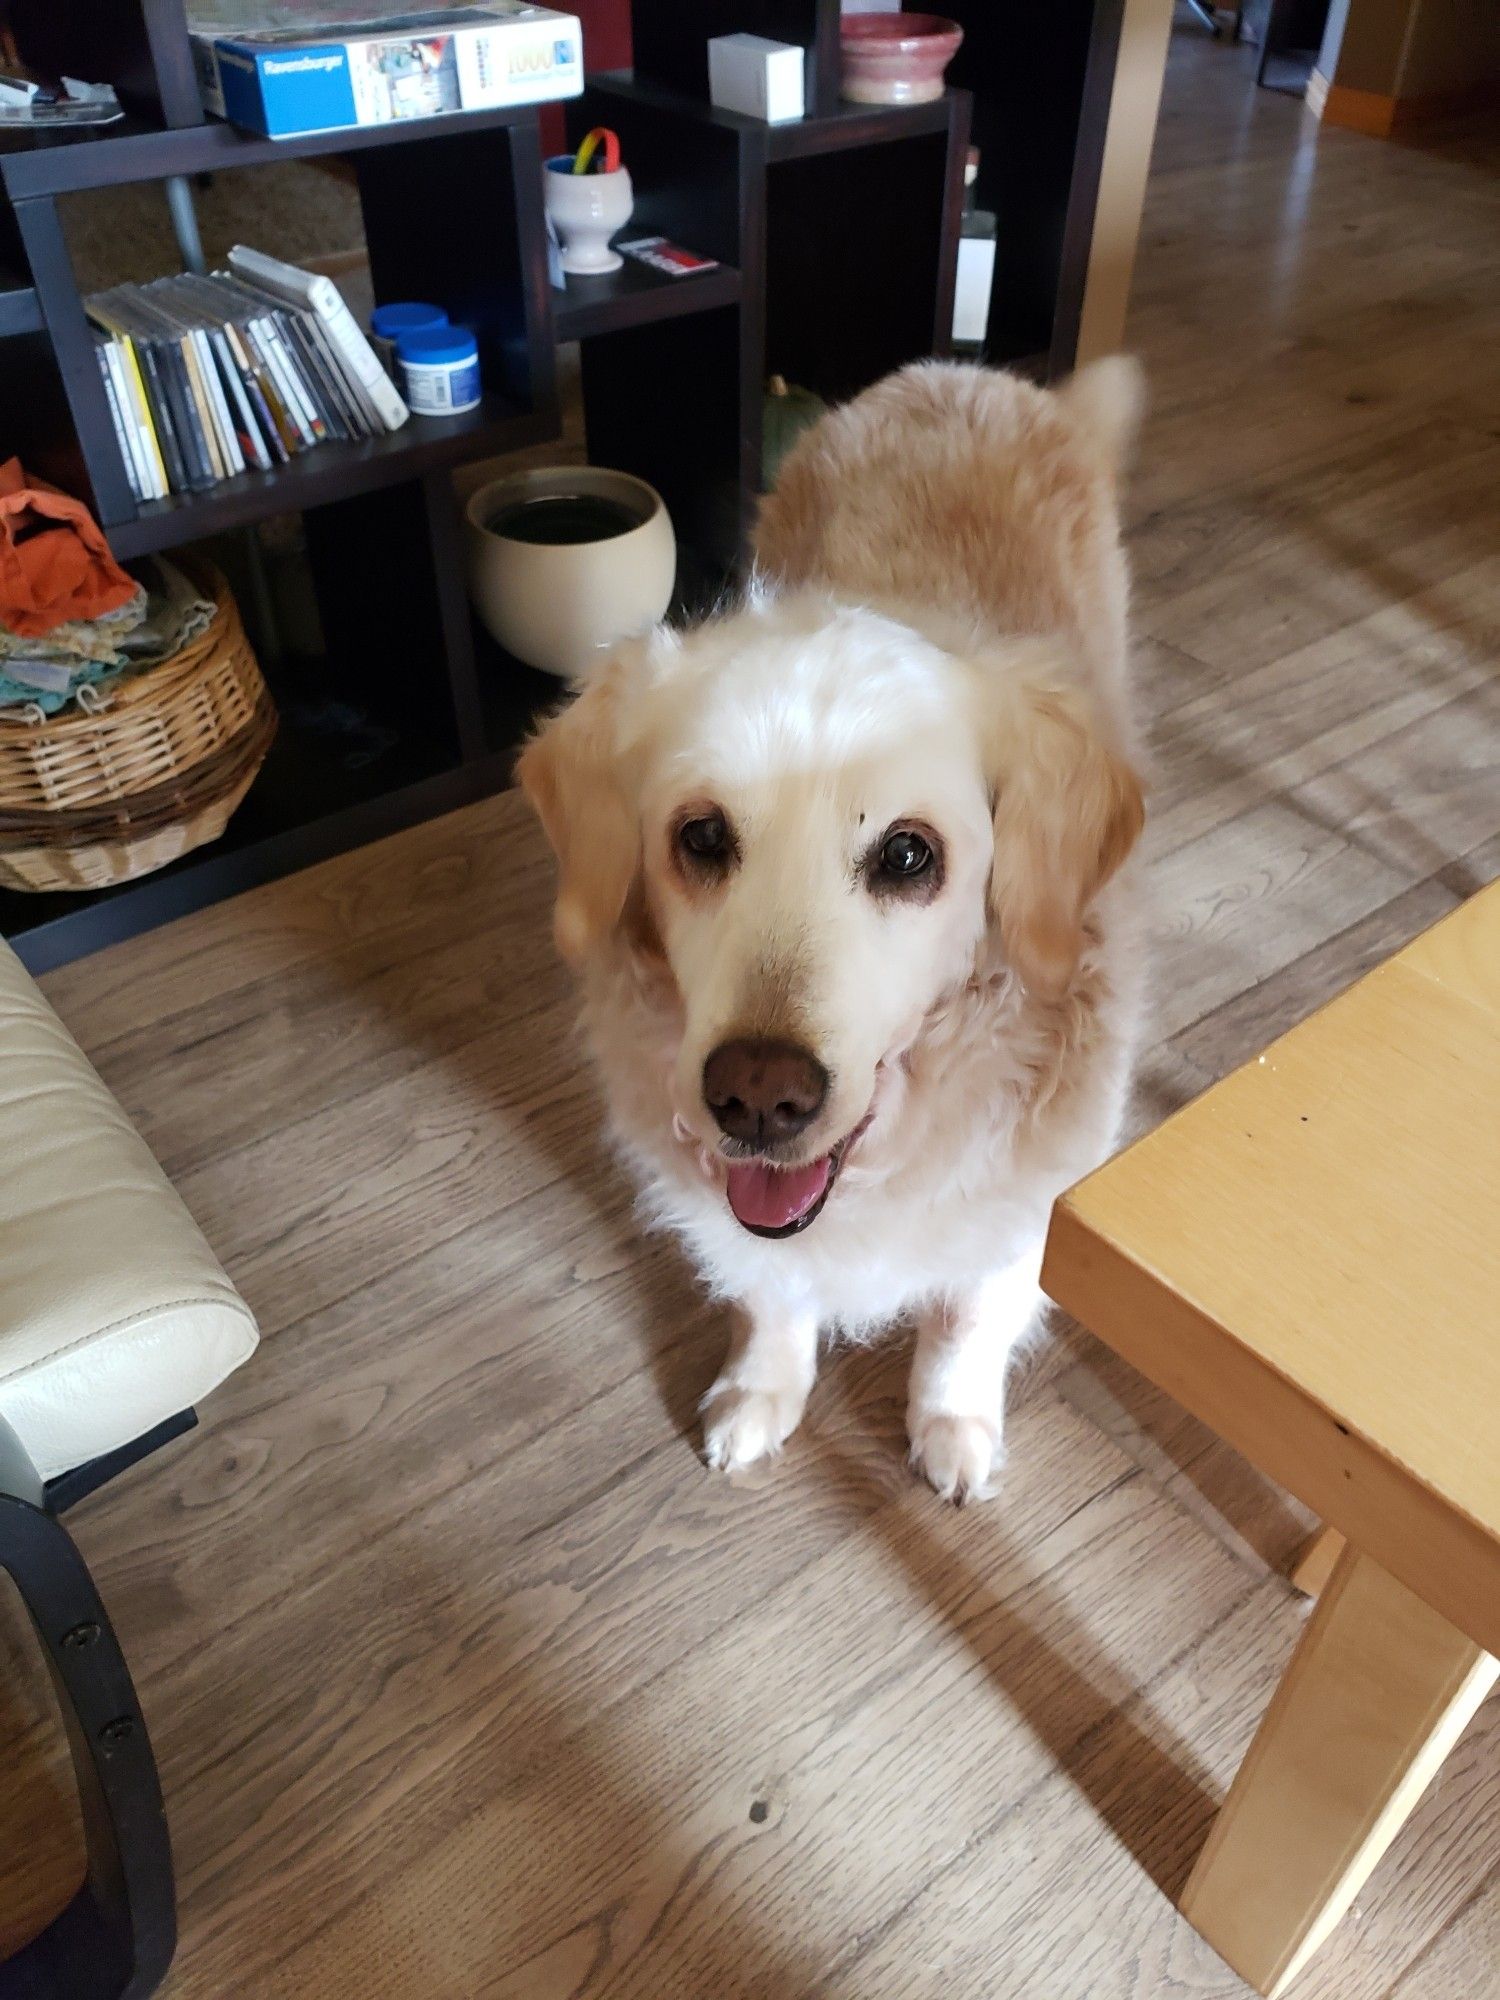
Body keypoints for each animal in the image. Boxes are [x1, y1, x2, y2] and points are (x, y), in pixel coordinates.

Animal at [524, 360, 1144, 1504]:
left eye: (907, 855)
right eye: (701, 835)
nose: (759, 1097)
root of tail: (959, 371)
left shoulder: (1032, 1203)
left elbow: (969, 1314)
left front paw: (952, 1423)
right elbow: (772, 1292)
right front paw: (761, 1390)